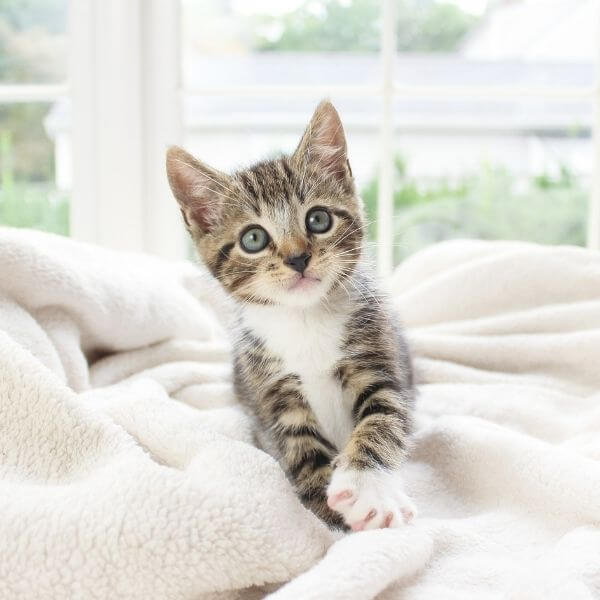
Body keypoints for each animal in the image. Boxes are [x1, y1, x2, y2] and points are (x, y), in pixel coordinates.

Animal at [166, 101, 414, 532]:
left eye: (318, 219)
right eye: (253, 239)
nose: (298, 258)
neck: (305, 321)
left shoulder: (377, 357)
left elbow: (382, 419)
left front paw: (368, 490)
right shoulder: (271, 392)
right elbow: (301, 448)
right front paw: (330, 520)